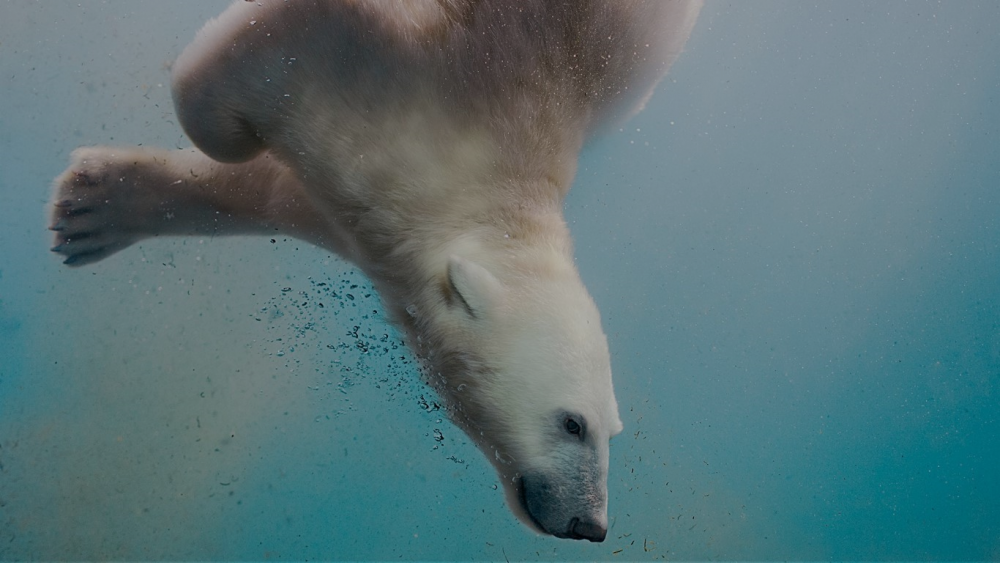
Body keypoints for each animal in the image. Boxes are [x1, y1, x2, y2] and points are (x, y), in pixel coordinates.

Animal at [48, 0, 701, 542]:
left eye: (612, 431)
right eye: (572, 424)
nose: (591, 526)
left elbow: (274, 190)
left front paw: (92, 207)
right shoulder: (421, 64)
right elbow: (240, 105)